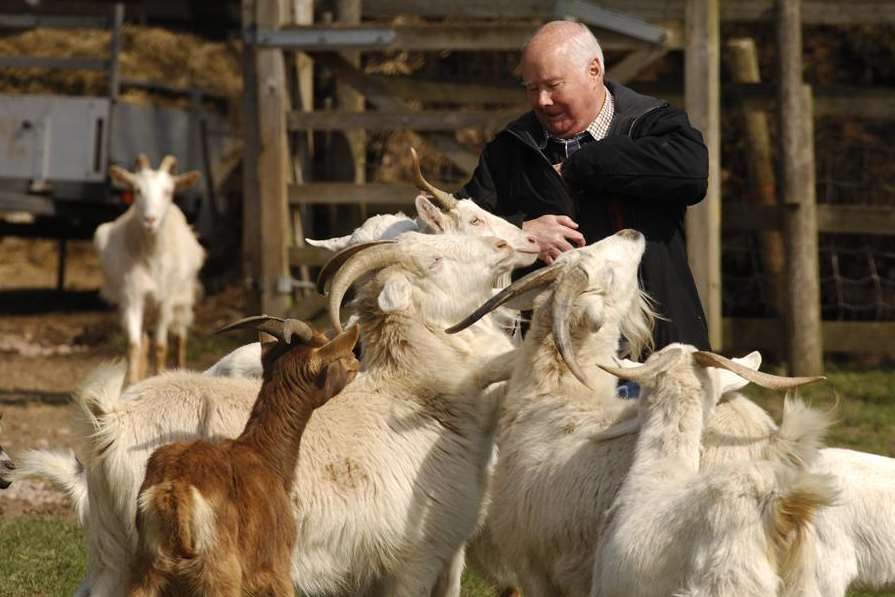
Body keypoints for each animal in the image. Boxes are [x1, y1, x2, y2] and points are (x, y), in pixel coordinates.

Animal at [98, 155, 205, 382]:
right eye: (137, 190)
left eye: (168, 191)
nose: (150, 220)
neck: (151, 257)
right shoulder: (132, 296)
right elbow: (134, 345)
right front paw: (130, 383)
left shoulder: (167, 299)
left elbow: (161, 346)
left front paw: (161, 376)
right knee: (145, 339)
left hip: (183, 297)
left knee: (180, 335)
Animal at [127, 314, 364, 592]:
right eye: (327, 347)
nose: (355, 361)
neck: (265, 455)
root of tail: (175, 491)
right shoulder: (277, 567)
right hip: (220, 575)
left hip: (145, 574)